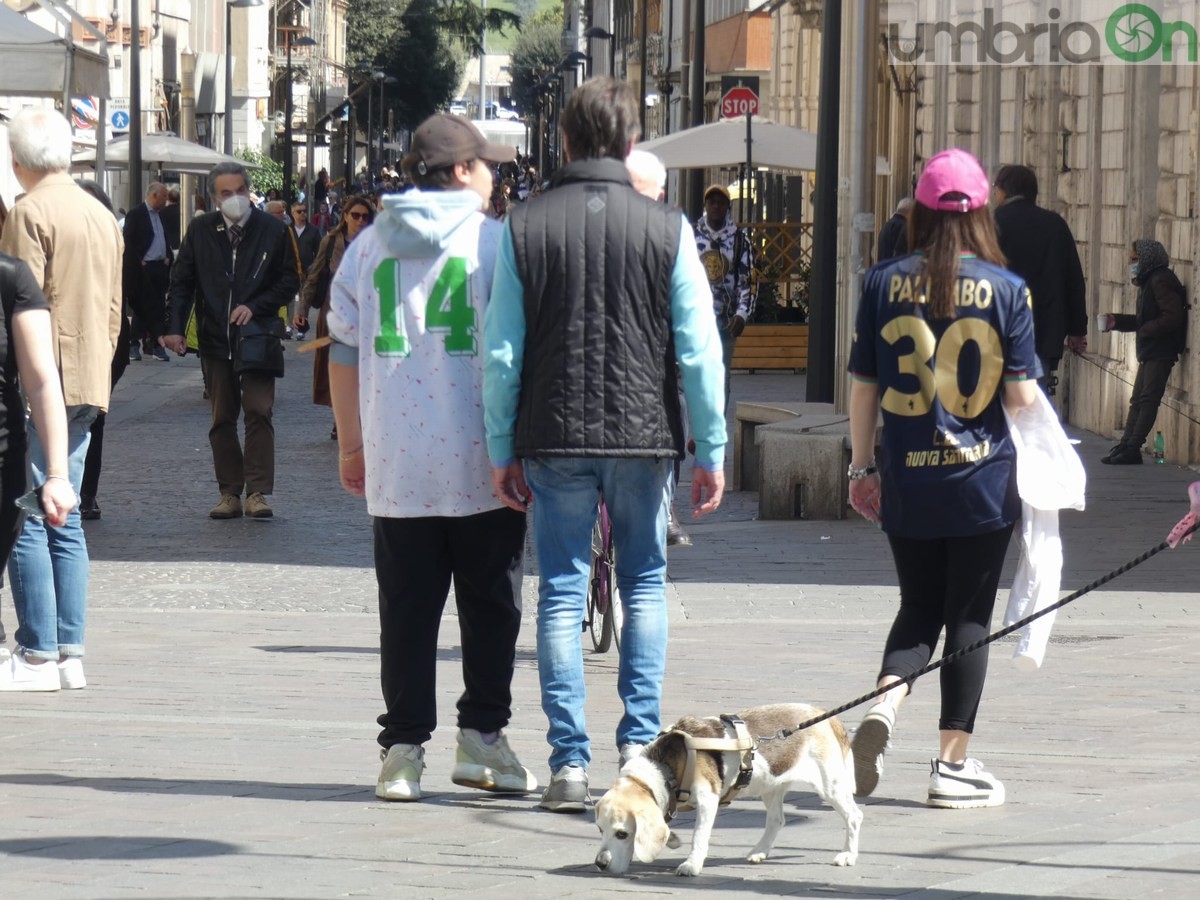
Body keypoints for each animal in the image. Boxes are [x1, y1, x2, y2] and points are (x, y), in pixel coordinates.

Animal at [592, 710, 859, 878]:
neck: (663, 765)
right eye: (600, 830)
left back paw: (848, 855)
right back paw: (759, 852)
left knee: (854, 817)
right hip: (771, 786)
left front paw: (692, 865)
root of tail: (824, 716)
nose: (600, 864)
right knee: (777, 820)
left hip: (830, 785)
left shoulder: (708, 800)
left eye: (622, 834)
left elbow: (699, 837)